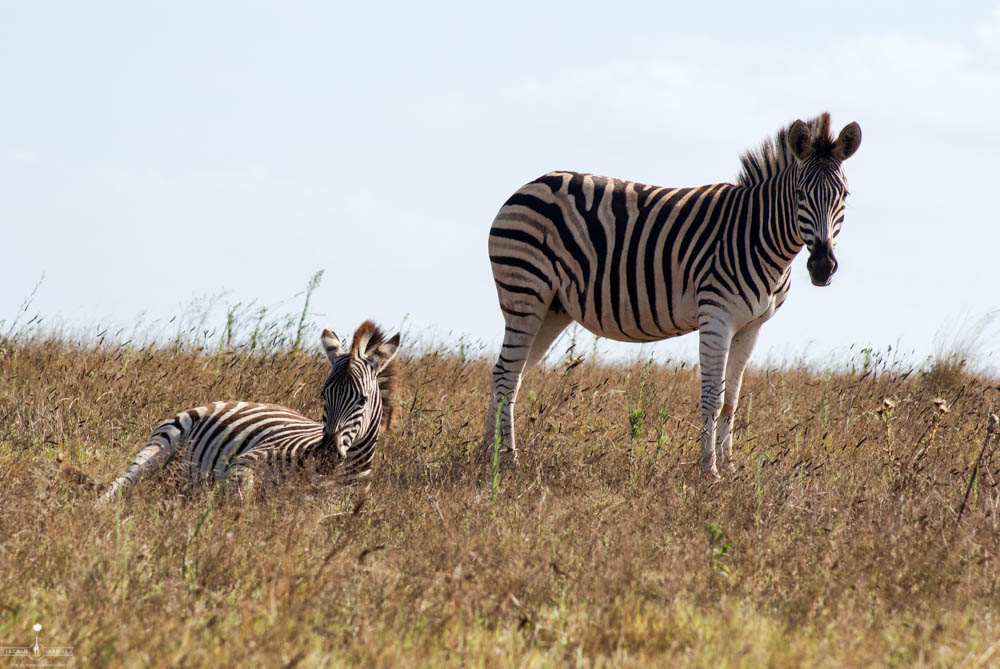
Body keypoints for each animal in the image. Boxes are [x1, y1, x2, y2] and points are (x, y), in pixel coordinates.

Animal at [99, 320, 400, 500]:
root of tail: (238, 400)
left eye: (362, 400)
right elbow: (243, 498)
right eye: (323, 396)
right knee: (121, 484)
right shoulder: (247, 461)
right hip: (162, 442)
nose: (325, 455)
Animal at [484, 113, 860, 474]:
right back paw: (508, 460)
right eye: (799, 194)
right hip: (525, 291)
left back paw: (487, 454)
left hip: (552, 308)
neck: (758, 235)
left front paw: (730, 469)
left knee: (507, 372)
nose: (822, 267)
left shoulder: (750, 326)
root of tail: (529, 185)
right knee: (506, 375)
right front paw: (708, 470)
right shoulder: (716, 316)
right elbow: (713, 398)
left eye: (844, 195)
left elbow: (732, 400)